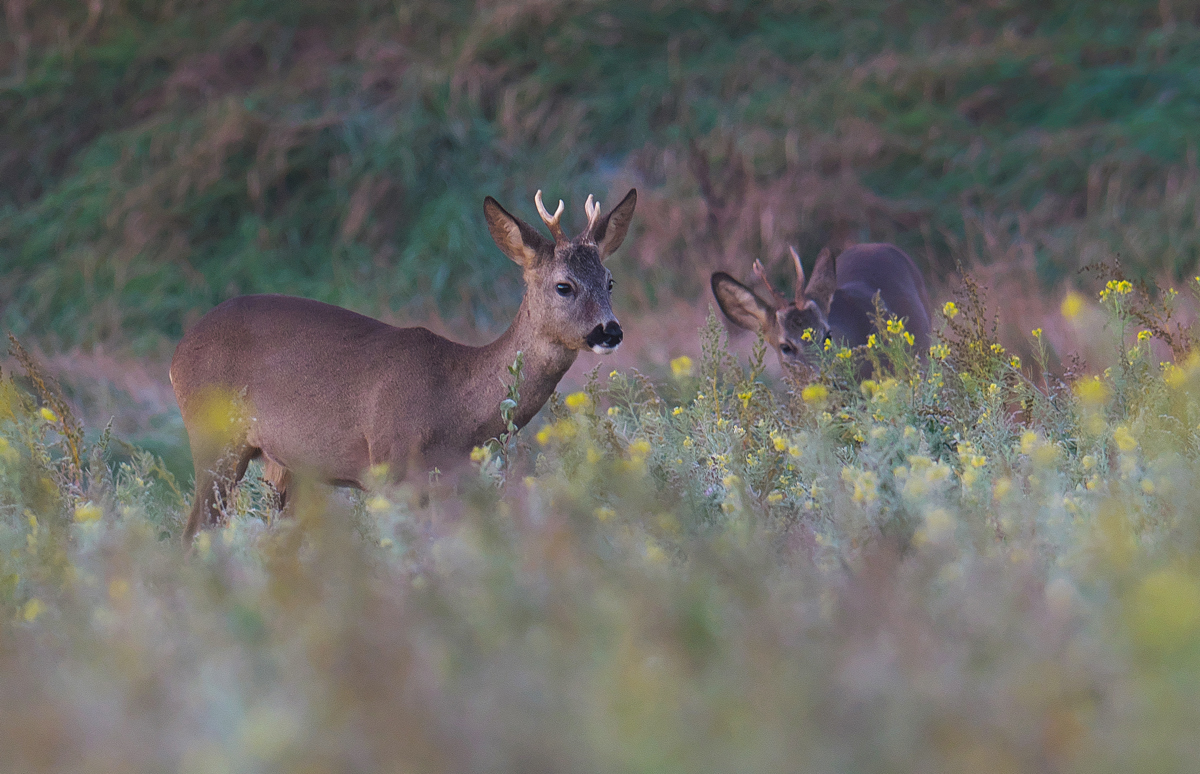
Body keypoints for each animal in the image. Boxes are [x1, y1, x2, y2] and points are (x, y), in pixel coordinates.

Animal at [174, 187, 638, 540]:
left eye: (610, 281)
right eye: (564, 285)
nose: (610, 331)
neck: (455, 404)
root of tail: (180, 349)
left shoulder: (455, 482)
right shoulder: (388, 467)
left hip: (284, 467)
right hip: (215, 439)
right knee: (195, 531)